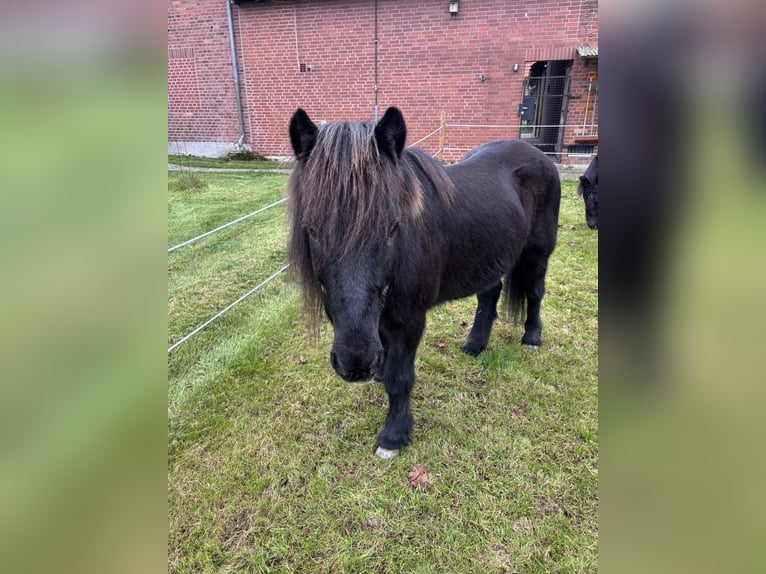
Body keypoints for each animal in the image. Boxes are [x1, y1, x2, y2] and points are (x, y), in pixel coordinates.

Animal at [287, 106, 561, 458]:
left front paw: (393, 435)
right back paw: (474, 345)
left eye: (393, 228)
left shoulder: (410, 321)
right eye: (312, 229)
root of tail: (537, 153)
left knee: (536, 292)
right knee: (489, 295)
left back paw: (532, 338)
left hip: (538, 252)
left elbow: (400, 378)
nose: (356, 364)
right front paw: (379, 373)